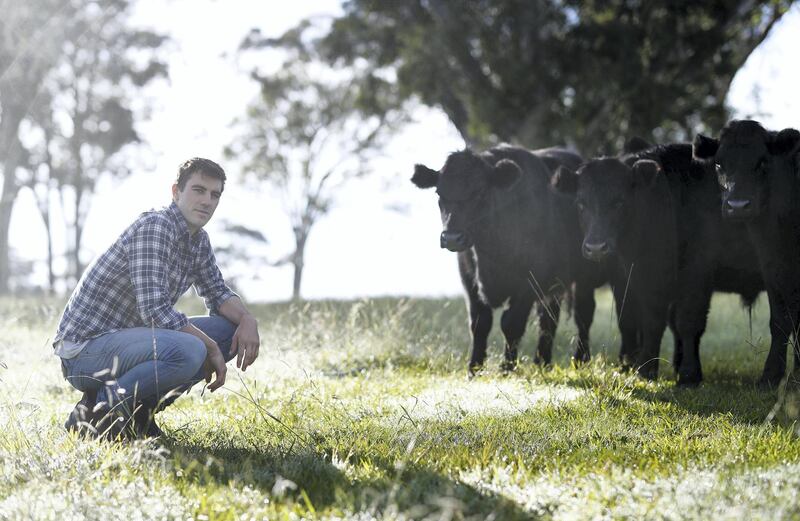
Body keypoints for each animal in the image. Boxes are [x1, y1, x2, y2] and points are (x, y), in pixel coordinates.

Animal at [412, 146, 608, 374]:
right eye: (439, 193)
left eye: (480, 191)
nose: (452, 238)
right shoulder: (469, 280)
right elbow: (479, 323)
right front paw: (474, 368)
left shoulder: (529, 281)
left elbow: (511, 323)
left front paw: (506, 368)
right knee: (548, 317)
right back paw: (542, 362)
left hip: (586, 273)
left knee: (584, 314)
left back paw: (581, 360)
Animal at [552, 144, 760, 384]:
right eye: (580, 204)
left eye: (619, 202)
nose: (595, 247)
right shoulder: (640, 278)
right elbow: (644, 319)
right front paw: (641, 368)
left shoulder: (695, 275)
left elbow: (686, 322)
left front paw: (687, 374)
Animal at [692, 120, 800, 384]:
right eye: (719, 164)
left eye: (763, 162)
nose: (738, 206)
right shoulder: (773, 263)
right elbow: (781, 319)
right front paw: (773, 375)